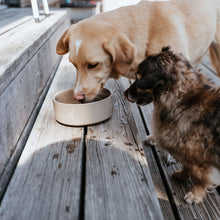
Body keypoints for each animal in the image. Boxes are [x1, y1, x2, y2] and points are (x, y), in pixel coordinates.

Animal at [124, 46, 220, 205]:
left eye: (138, 78)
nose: (125, 93)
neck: (182, 98)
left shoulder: (200, 161)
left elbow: (198, 177)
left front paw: (195, 195)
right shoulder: (187, 155)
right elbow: (187, 167)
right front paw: (181, 175)